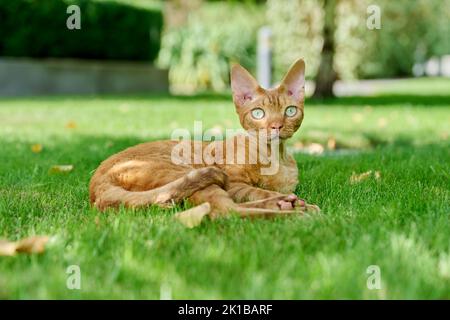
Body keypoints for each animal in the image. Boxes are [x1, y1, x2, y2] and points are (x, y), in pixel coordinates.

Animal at [89, 58, 320, 219]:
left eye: (290, 111)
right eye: (258, 113)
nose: (276, 126)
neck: (275, 157)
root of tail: (95, 184)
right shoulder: (234, 183)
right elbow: (258, 192)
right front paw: (285, 200)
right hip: (186, 171)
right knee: (224, 210)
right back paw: (296, 213)